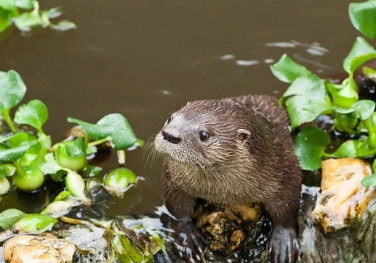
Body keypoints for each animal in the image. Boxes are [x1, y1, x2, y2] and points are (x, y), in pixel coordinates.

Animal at [154, 96, 304, 263]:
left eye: (204, 134)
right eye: (170, 118)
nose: (169, 134)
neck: (222, 193)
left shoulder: (285, 168)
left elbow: (287, 208)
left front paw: (284, 242)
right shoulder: (173, 175)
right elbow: (177, 208)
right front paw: (186, 237)